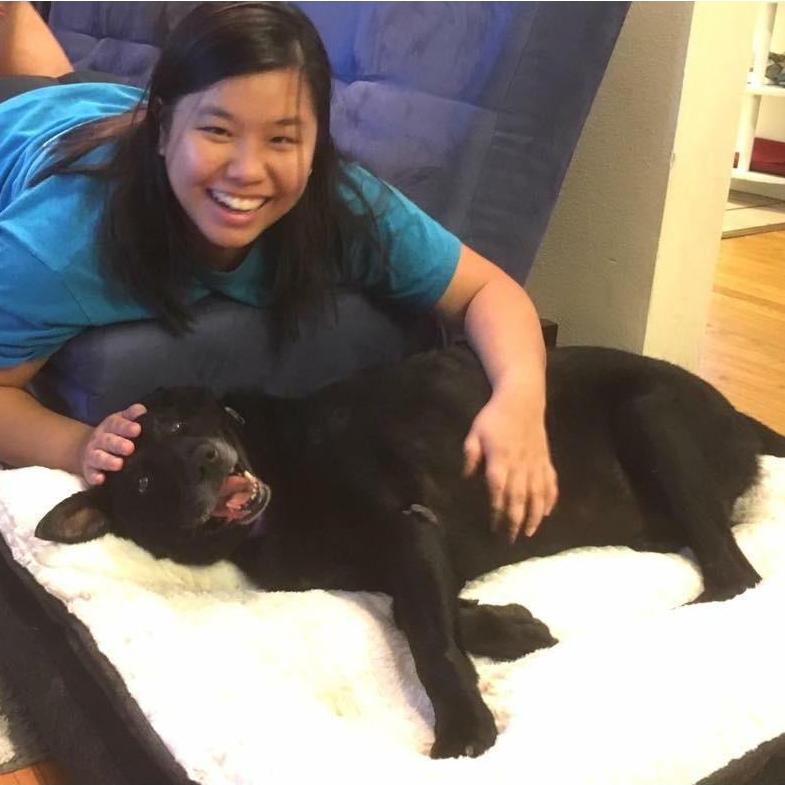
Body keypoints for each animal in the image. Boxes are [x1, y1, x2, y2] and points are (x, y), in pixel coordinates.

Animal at [35, 344, 784, 760]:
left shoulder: (406, 528)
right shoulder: (397, 553)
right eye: (142, 482)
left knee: (736, 574)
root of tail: (740, 418)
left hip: (648, 411)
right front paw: (512, 628)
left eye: (176, 425)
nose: (204, 462)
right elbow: (422, 610)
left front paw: (463, 726)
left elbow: (428, 637)